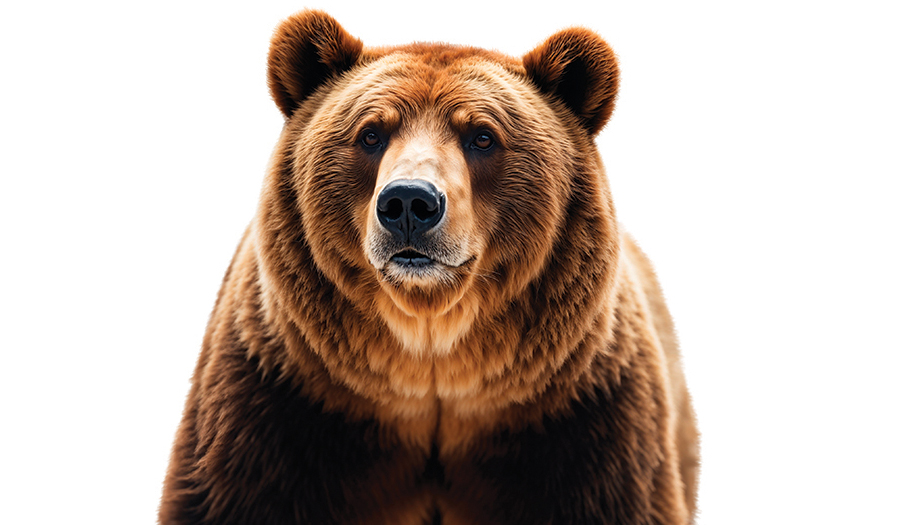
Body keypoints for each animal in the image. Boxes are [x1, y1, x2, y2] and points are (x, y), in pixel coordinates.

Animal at [160, 10, 699, 525]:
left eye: (482, 136)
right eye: (371, 133)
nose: (409, 203)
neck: (431, 366)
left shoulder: (580, 423)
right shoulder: (280, 411)